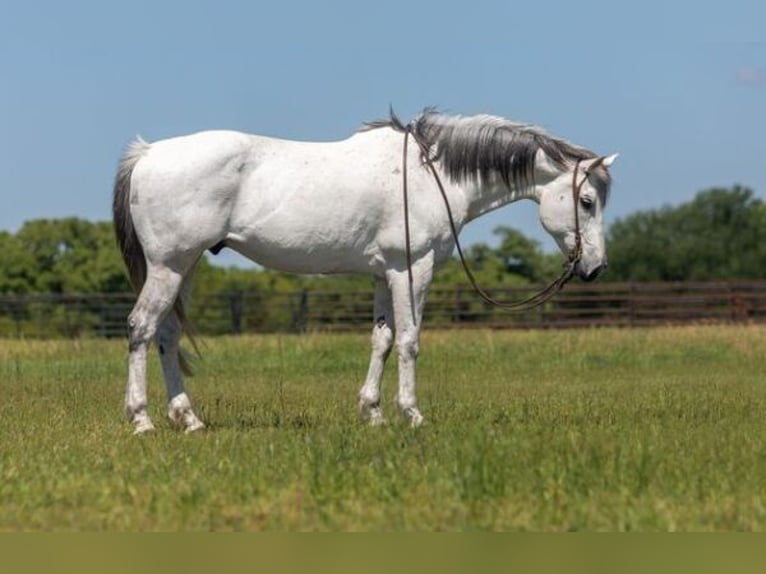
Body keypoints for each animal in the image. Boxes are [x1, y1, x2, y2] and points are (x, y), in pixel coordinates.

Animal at [112, 109, 618, 434]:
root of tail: (148, 154)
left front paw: (371, 412)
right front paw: (411, 414)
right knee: (141, 328)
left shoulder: (383, 274)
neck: (430, 174)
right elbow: (410, 341)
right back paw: (141, 420)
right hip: (169, 266)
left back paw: (189, 419)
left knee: (167, 335)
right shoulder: (413, 269)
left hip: (186, 268)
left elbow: (383, 340)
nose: (594, 268)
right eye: (586, 202)